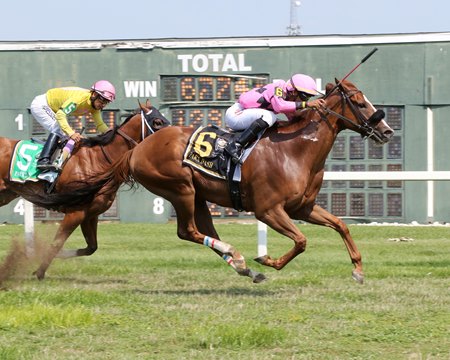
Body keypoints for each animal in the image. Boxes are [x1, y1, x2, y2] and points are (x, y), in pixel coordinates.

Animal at [0, 102, 169, 280]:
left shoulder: (90, 215)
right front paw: (39, 271)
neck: (98, 161)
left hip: (5, 194)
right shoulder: (75, 212)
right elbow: (57, 243)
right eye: (158, 122)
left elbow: (91, 247)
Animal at [67, 79, 394, 284]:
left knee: (203, 231)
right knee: (188, 231)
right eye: (359, 102)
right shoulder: (268, 210)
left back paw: (242, 266)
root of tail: (136, 149)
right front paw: (267, 260)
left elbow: (341, 225)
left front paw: (358, 270)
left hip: (198, 196)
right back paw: (239, 257)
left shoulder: (303, 208)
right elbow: (301, 241)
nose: (387, 130)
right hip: (181, 188)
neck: (295, 150)